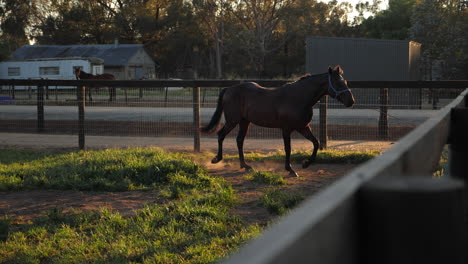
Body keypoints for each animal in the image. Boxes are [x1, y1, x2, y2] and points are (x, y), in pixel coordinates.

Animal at [201, 65, 354, 177]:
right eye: (338, 83)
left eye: (345, 82)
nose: (351, 101)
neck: (299, 97)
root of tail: (228, 89)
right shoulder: (286, 129)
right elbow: (288, 148)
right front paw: (290, 169)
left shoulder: (303, 127)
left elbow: (316, 143)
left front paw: (305, 163)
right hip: (233, 120)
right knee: (221, 135)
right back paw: (217, 159)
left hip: (244, 121)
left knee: (239, 140)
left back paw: (245, 166)